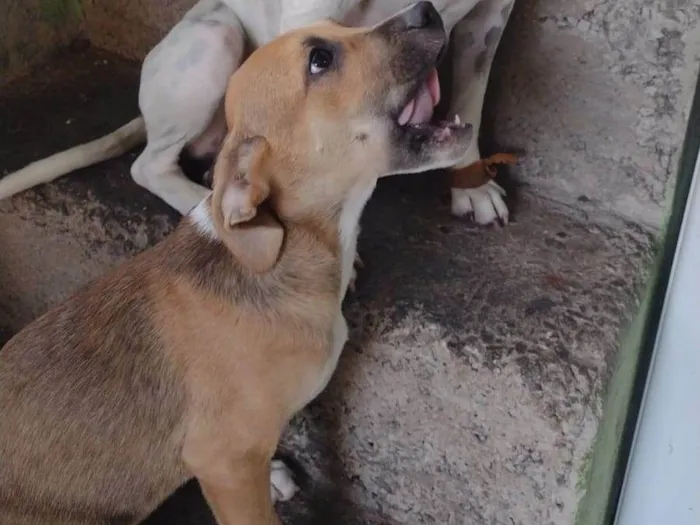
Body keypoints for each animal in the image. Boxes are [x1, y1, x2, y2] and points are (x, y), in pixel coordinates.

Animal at [0, 0, 516, 223]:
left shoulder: (491, 18)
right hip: (215, 36)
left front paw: (472, 186)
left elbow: (471, 98)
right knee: (149, 166)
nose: (425, 13)